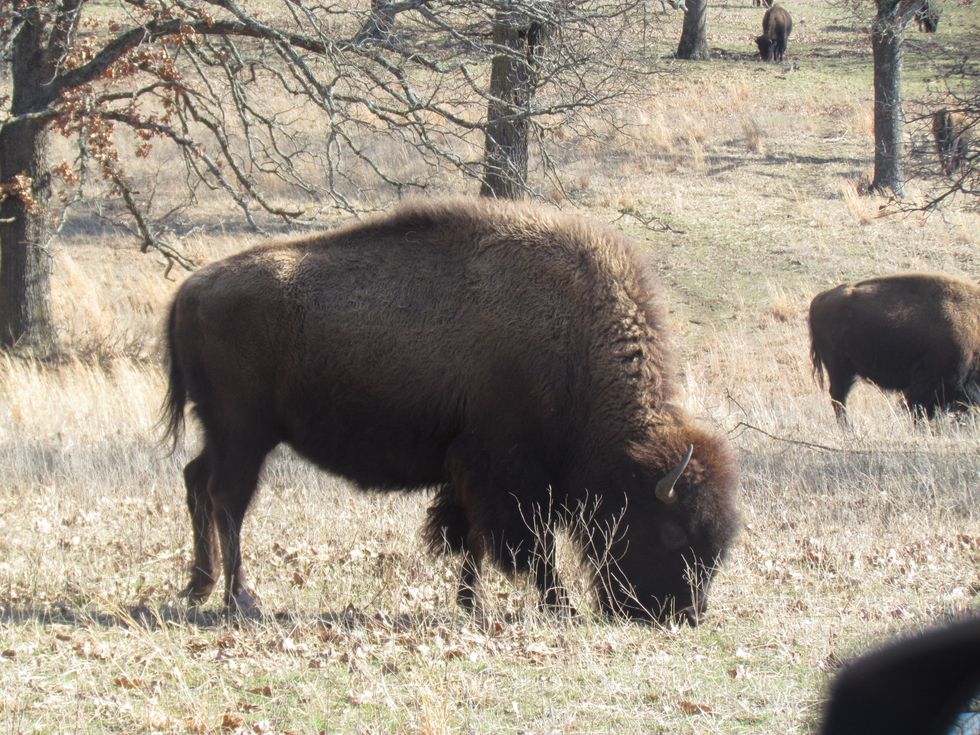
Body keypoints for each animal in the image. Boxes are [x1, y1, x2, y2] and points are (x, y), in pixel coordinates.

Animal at [163, 197, 740, 624]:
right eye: (672, 532)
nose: (685, 614)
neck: (575, 347)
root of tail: (190, 290)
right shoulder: (505, 475)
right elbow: (527, 547)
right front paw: (560, 607)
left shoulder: (470, 473)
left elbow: (471, 541)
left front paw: (470, 604)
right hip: (244, 434)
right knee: (228, 500)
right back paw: (240, 599)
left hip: (222, 433)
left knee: (196, 481)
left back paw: (199, 586)